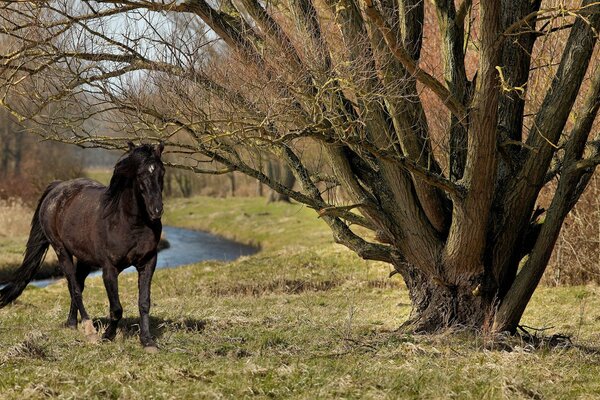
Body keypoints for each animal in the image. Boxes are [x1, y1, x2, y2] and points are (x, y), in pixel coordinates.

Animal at [0, 142, 164, 352]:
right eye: (140, 174)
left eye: (161, 172)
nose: (156, 211)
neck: (128, 222)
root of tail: (57, 187)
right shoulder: (109, 269)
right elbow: (116, 308)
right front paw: (107, 336)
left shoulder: (148, 262)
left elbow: (144, 302)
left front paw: (148, 341)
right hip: (62, 251)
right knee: (74, 287)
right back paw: (89, 329)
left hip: (85, 260)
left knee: (76, 285)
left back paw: (71, 323)